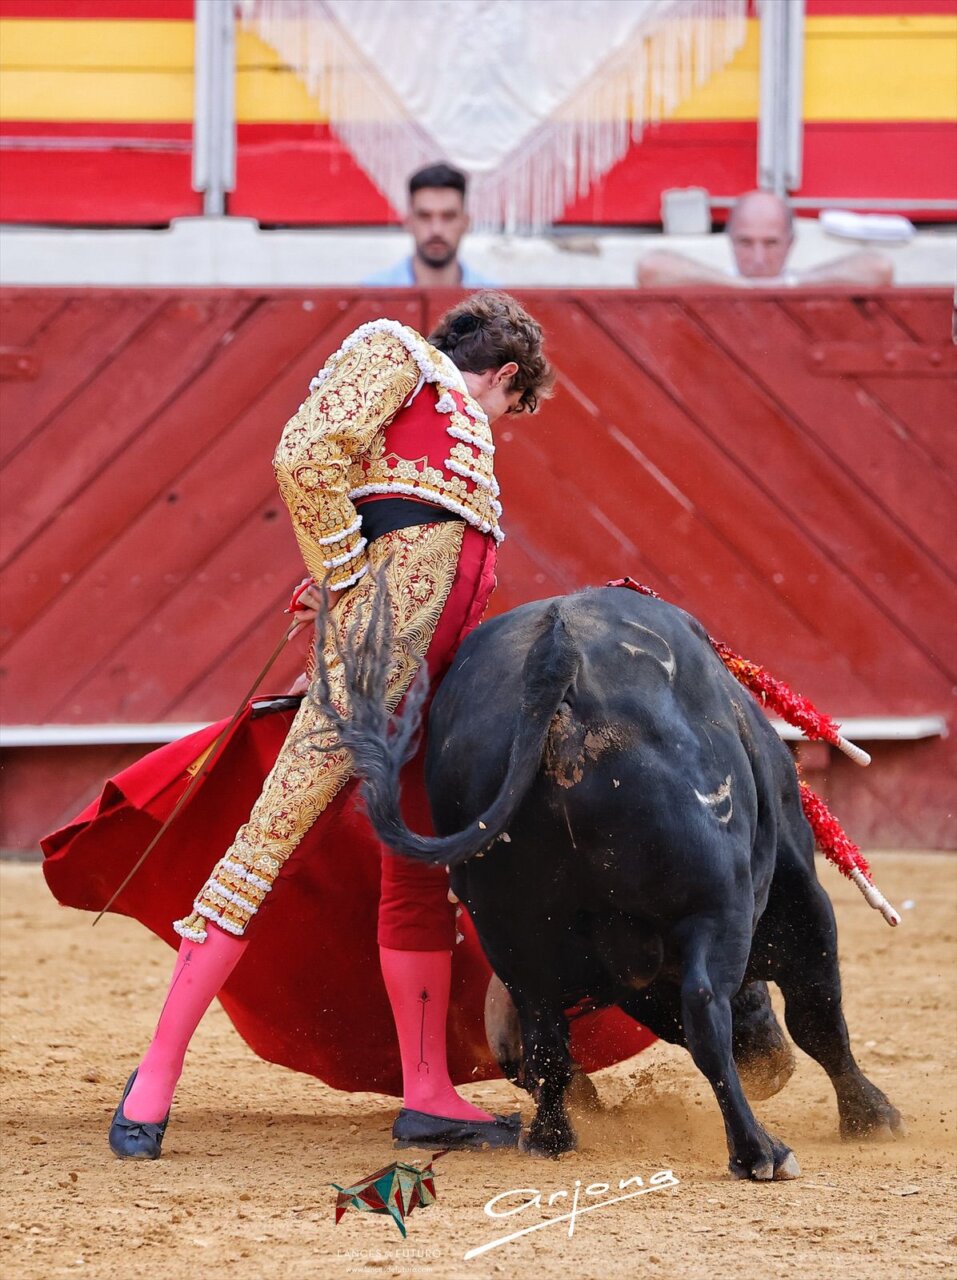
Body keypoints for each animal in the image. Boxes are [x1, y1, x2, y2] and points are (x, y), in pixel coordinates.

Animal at [314, 583, 903, 1180]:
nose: (768, 1069)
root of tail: (553, 659)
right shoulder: (798, 891)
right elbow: (818, 1011)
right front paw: (871, 1117)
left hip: (512, 931)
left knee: (545, 1035)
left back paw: (550, 1138)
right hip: (716, 905)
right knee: (705, 1007)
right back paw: (759, 1151)